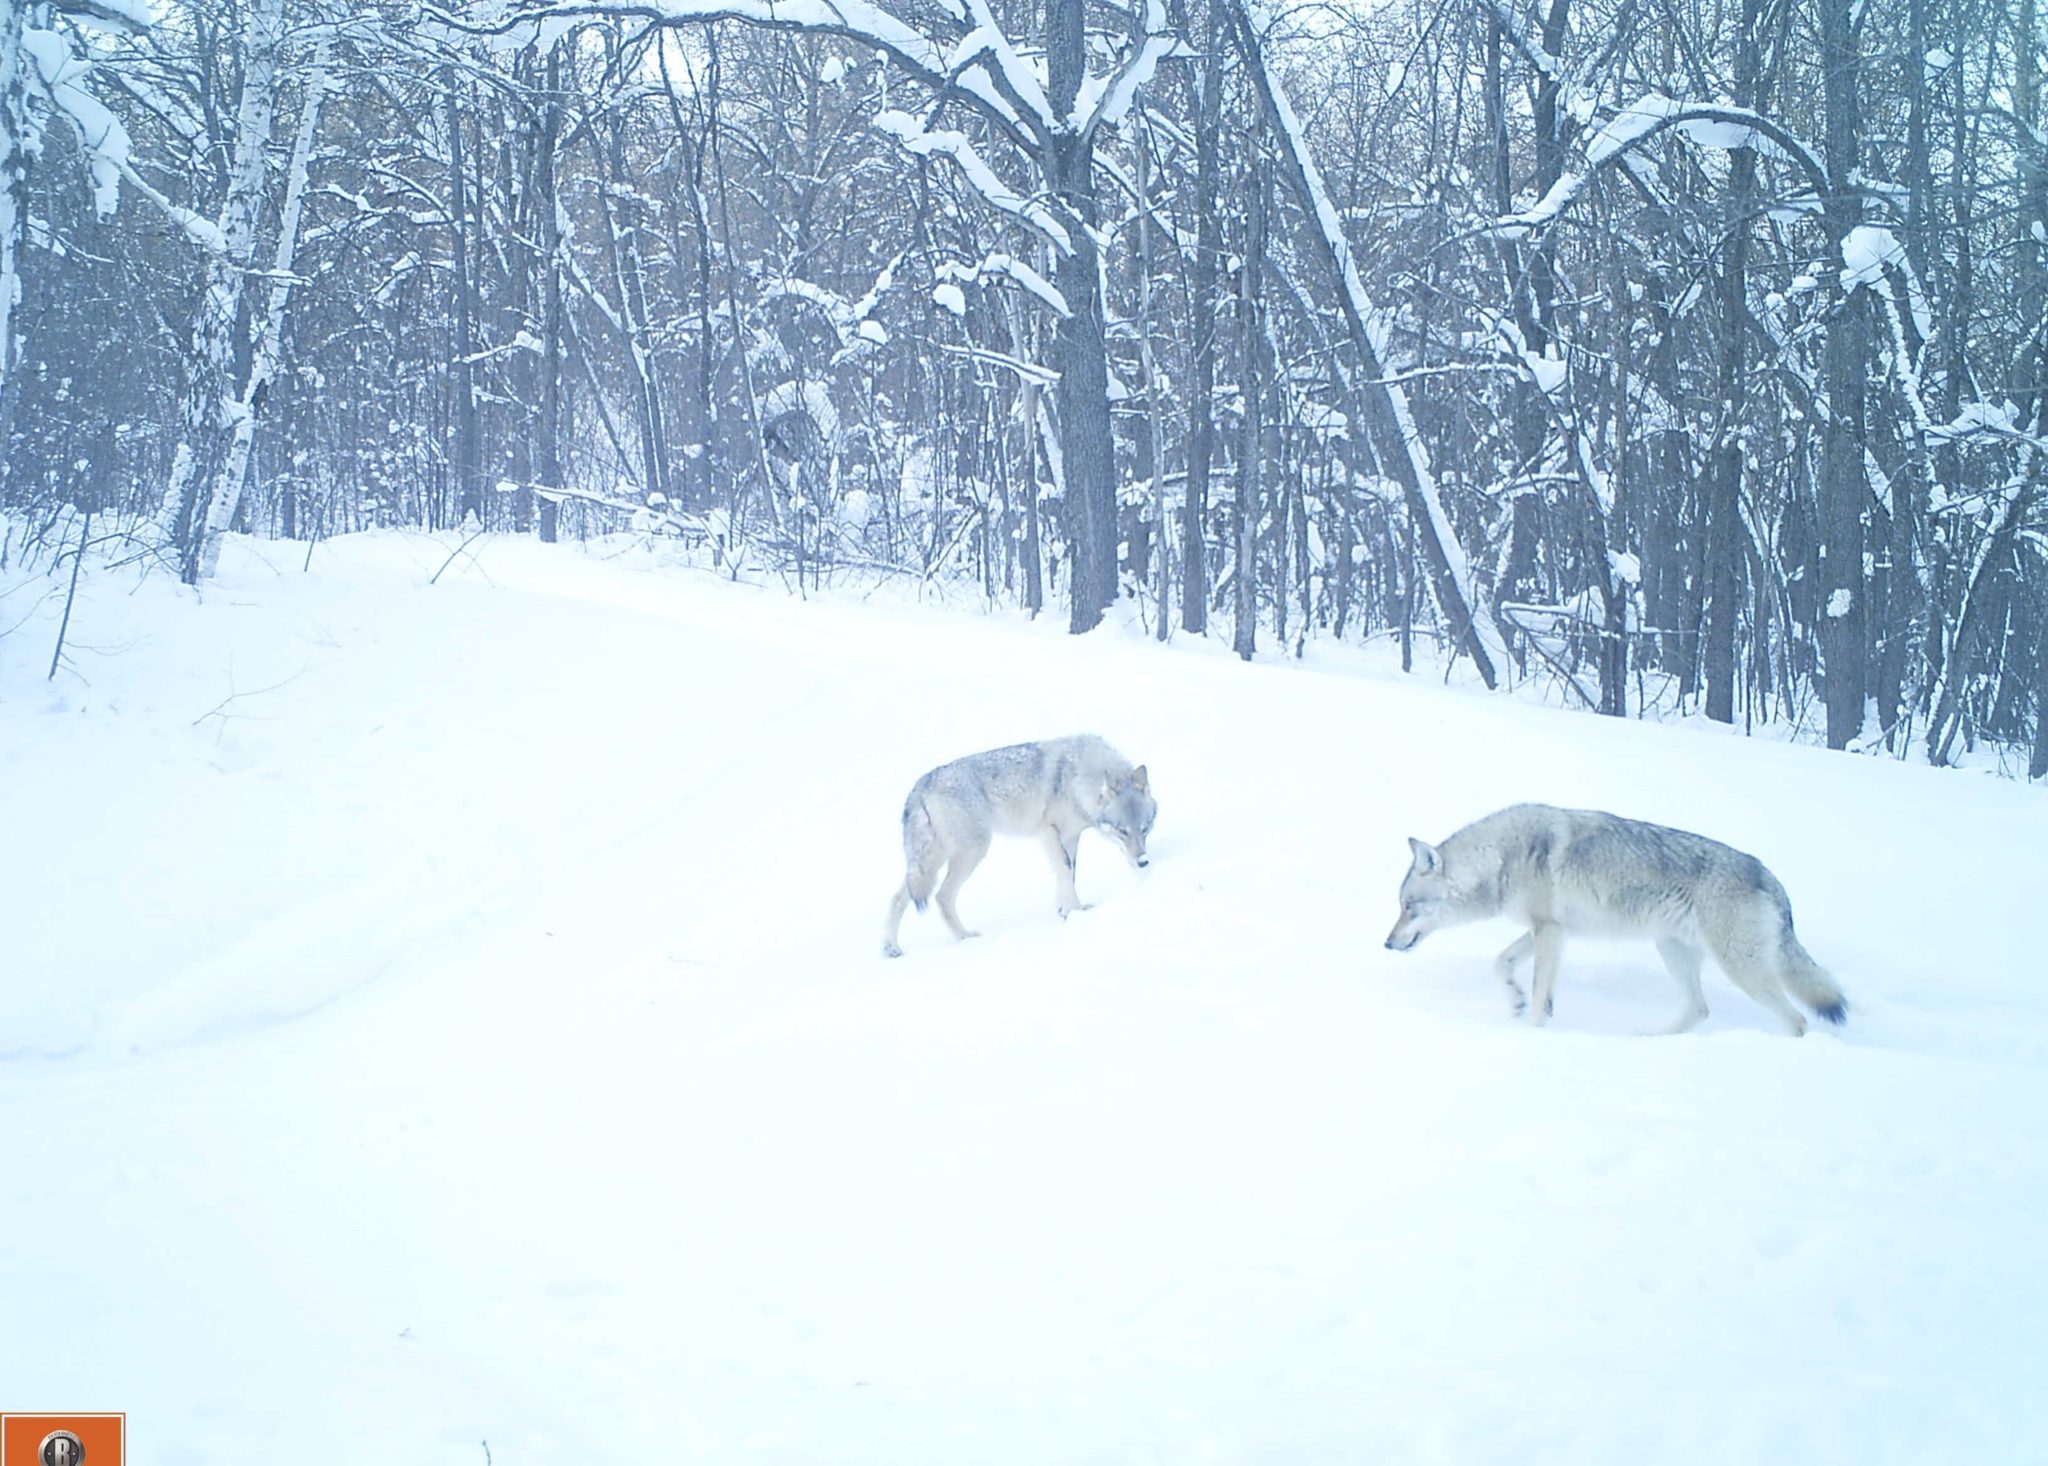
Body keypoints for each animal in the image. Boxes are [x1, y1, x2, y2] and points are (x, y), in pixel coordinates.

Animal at [880, 733, 1155, 962]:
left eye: (1145, 829)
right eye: (1122, 831)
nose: (1143, 862)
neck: (1077, 777)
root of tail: (921, 784)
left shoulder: (1070, 837)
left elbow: (1068, 875)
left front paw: (1064, 910)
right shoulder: (1049, 832)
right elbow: (1065, 871)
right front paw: (1077, 910)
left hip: (931, 864)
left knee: (897, 899)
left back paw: (891, 948)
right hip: (972, 852)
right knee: (942, 896)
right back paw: (964, 937)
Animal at [1384, 806, 1851, 1036]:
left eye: (1408, 906)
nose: (1387, 944)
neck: (1501, 858)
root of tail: (1769, 878)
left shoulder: (1549, 931)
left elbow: (1536, 997)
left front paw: (1531, 1036)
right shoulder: (1551, 930)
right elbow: (1504, 965)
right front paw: (1516, 1001)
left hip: (1741, 970)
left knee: (1797, 1022)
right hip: (1672, 951)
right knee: (1698, 1010)